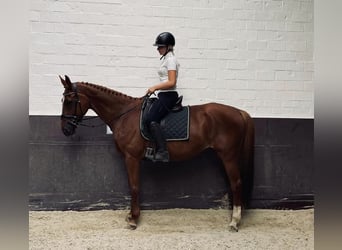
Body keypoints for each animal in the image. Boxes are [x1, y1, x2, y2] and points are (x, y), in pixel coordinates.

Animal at [58, 74, 254, 232]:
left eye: (69, 101)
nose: (65, 130)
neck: (124, 114)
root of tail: (239, 112)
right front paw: (131, 216)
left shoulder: (132, 158)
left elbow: (134, 186)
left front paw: (133, 219)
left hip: (228, 156)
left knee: (236, 183)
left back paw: (234, 222)